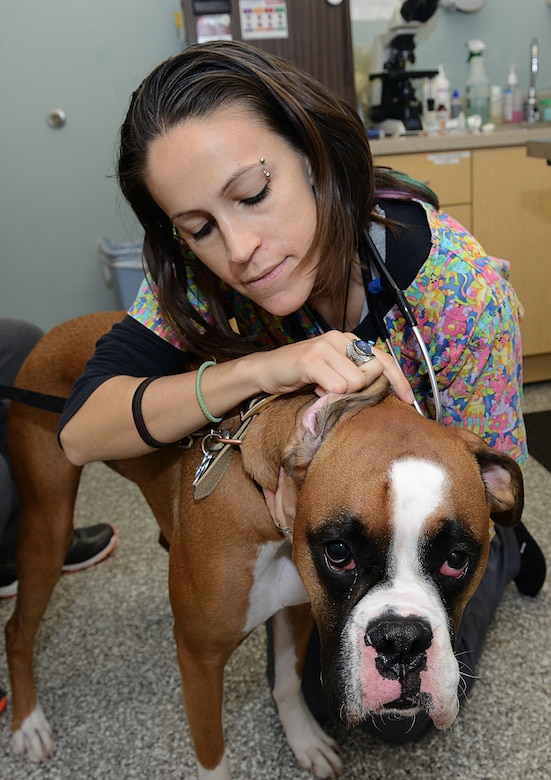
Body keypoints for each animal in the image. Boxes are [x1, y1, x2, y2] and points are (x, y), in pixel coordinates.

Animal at [4, 312, 520, 780]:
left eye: (457, 560)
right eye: (338, 553)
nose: (402, 641)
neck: (270, 514)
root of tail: (58, 329)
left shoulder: (296, 610)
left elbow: (287, 685)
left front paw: (304, 741)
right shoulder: (199, 657)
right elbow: (213, 756)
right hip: (49, 530)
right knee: (17, 630)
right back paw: (29, 723)